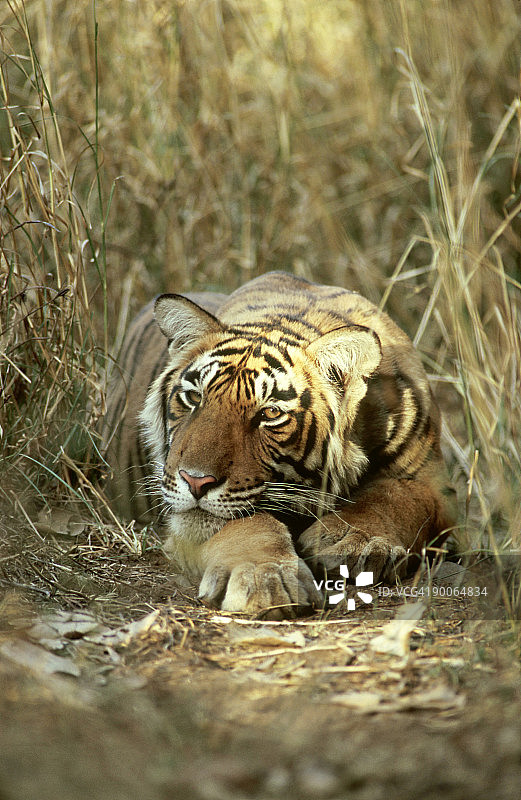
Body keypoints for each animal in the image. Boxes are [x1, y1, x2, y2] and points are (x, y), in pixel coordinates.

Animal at [103, 271, 456, 618]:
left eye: (270, 413)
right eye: (193, 397)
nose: (195, 481)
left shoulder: (433, 482)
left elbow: (398, 497)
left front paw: (355, 539)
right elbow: (247, 524)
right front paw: (263, 576)